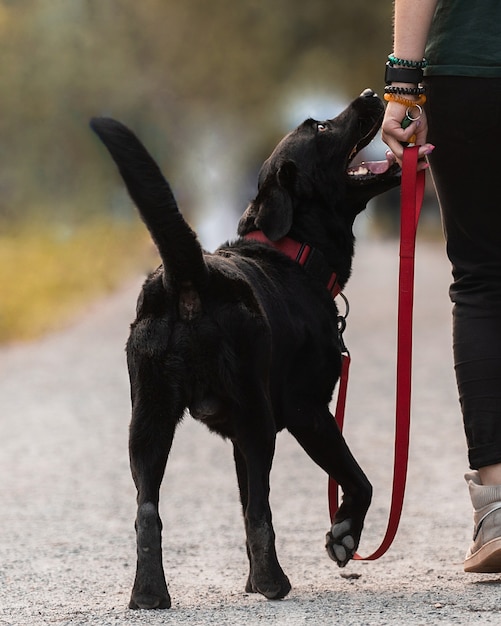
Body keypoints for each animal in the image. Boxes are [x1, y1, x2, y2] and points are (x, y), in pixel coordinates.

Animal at [90, 89, 398, 608]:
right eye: (319, 127)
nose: (372, 95)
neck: (296, 254)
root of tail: (189, 277)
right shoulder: (307, 412)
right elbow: (358, 480)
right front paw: (343, 536)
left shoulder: (235, 434)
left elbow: (241, 502)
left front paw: (252, 580)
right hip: (257, 420)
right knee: (260, 510)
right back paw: (276, 584)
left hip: (148, 422)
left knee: (148, 512)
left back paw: (150, 594)